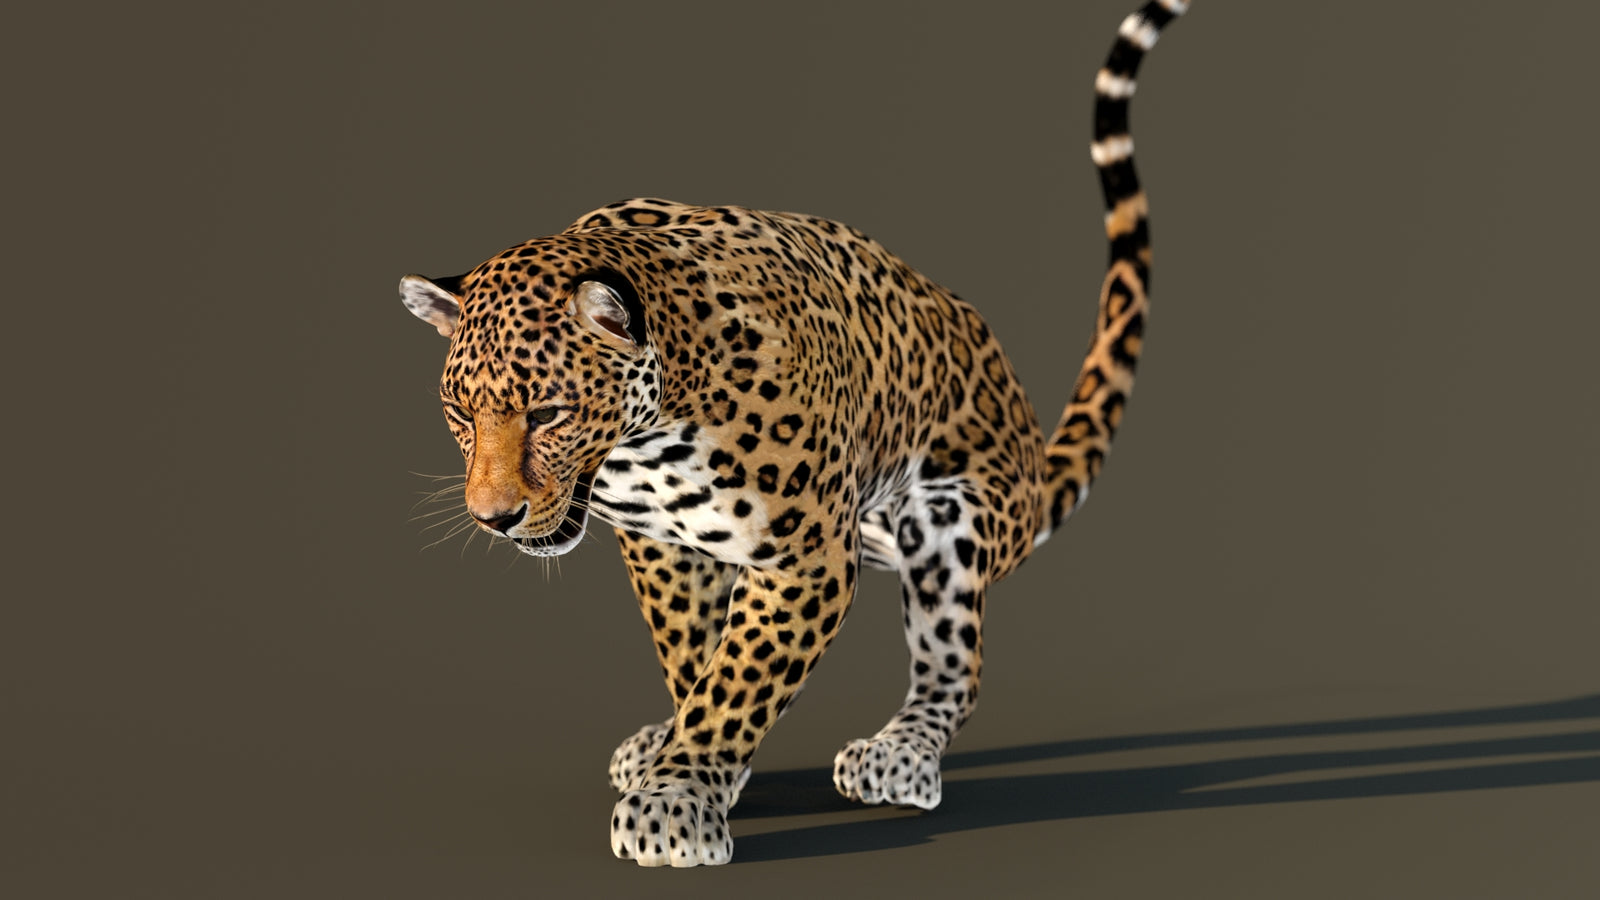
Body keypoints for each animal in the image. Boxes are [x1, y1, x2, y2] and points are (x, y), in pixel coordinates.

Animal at [398, 0, 1189, 868]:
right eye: (460, 416)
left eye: (548, 413)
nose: (493, 518)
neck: (649, 437)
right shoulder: (663, 545)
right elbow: (694, 658)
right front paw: (693, 761)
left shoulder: (806, 555)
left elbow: (738, 676)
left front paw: (675, 803)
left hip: (949, 517)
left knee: (956, 664)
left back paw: (900, 755)